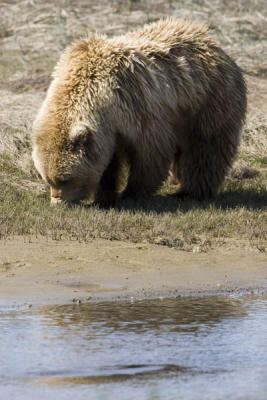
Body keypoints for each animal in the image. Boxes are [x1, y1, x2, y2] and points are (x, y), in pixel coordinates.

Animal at [32, 18, 248, 206]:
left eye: (65, 178)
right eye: (47, 178)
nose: (57, 202)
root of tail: (212, 41)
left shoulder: (135, 107)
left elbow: (150, 151)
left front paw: (131, 193)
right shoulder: (109, 130)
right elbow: (107, 161)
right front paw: (103, 196)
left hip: (207, 101)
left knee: (206, 147)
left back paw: (192, 191)